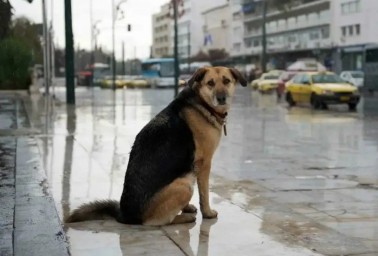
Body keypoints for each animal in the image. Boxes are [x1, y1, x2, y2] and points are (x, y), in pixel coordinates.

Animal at [66, 66, 247, 226]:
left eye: (226, 81)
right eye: (210, 83)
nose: (222, 98)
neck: (202, 103)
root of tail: (125, 215)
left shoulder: (192, 166)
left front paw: (187, 208)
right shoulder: (204, 163)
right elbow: (204, 194)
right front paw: (207, 213)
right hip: (184, 185)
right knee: (156, 222)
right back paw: (183, 219)